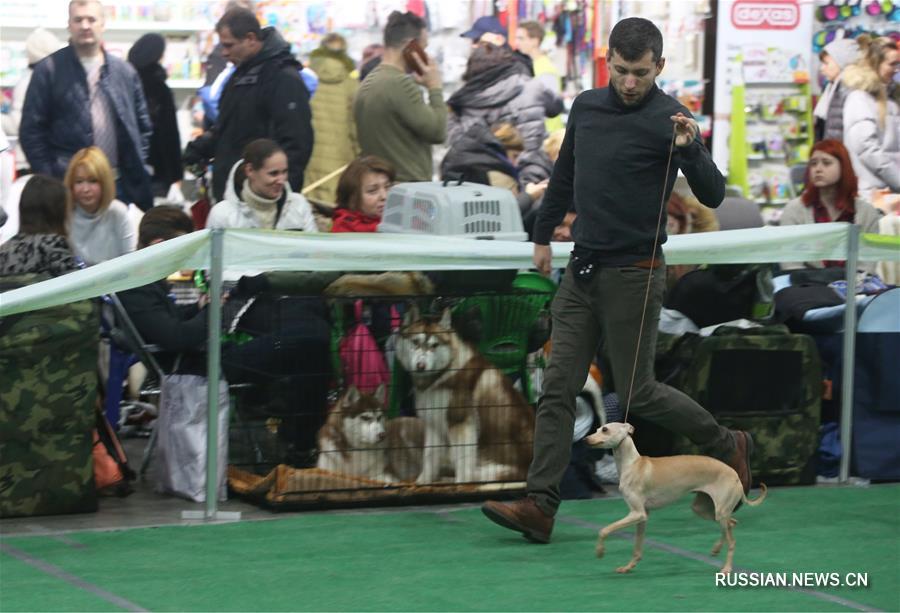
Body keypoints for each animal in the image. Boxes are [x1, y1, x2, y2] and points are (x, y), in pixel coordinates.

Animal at [584, 420, 768, 572]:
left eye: (605, 429)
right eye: (597, 428)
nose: (585, 440)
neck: (633, 464)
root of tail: (735, 475)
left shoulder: (637, 513)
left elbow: (604, 530)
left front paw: (600, 551)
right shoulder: (642, 516)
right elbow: (637, 547)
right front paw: (628, 566)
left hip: (720, 511)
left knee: (732, 540)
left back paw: (727, 568)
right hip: (704, 509)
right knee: (731, 524)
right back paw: (716, 549)